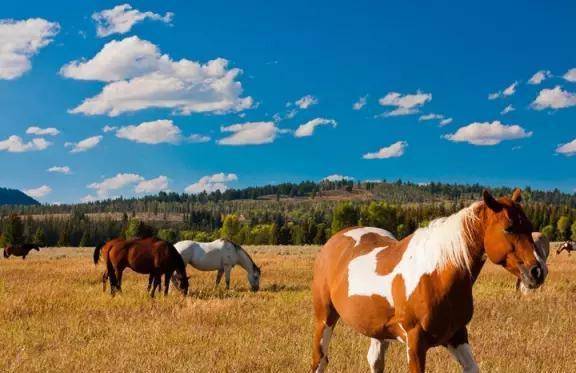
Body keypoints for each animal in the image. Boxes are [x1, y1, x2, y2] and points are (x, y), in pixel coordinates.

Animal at [312, 189, 548, 372]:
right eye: (509, 228)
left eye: (529, 226)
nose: (537, 271)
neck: (437, 275)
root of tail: (335, 240)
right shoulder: (415, 342)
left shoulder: (457, 335)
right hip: (324, 318)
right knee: (320, 360)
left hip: (377, 330)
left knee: (375, 361)